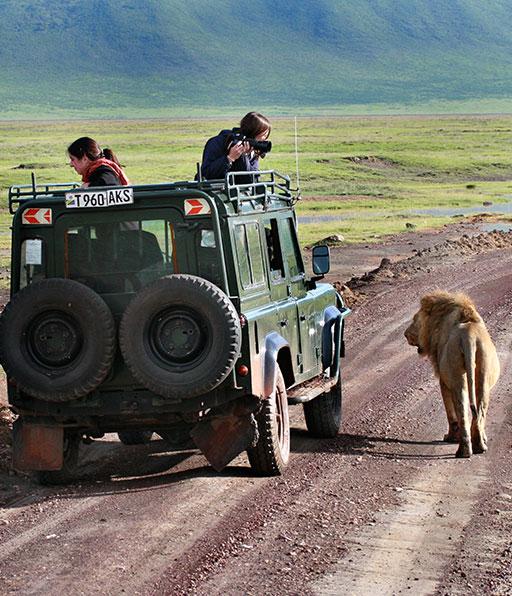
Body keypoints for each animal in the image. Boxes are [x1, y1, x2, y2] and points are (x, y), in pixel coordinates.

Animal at [406, 292, 498, 458]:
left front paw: (449, 437)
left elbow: (450, 413)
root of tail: (469, 337)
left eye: (415, 319)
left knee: (461, 413)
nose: (405, 335)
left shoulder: (443, 381)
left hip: (456, 375)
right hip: (483, 374)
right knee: (480, 411)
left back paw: (463, 450)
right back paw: (479, 446)